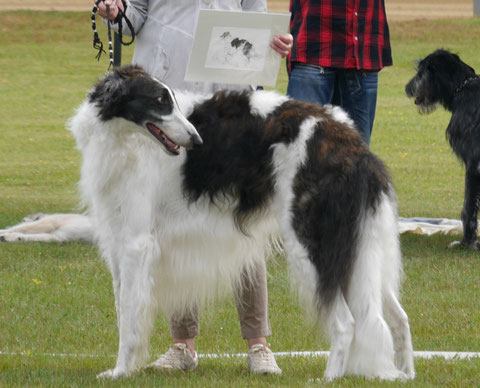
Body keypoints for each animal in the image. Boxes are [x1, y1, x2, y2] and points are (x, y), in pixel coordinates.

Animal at [69, 65, 414, 380]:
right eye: (159, 101)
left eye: (169, 100)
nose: (196, 140)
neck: (122, 137)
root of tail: (352, 143)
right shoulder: (119, 243)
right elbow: (122, 310)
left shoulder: (136, 244)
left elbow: (129, 318)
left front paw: (120, 372)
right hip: (361, 251)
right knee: (398, 317)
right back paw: (406, 373)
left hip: (313, 246)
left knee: (346, 322)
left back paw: (329, 378)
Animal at [404, 49, 480, 249]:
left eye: (421, 72)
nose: (407, 88)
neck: (463, 89)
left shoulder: (474, 164)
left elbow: (468, 207)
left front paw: (466, 243)